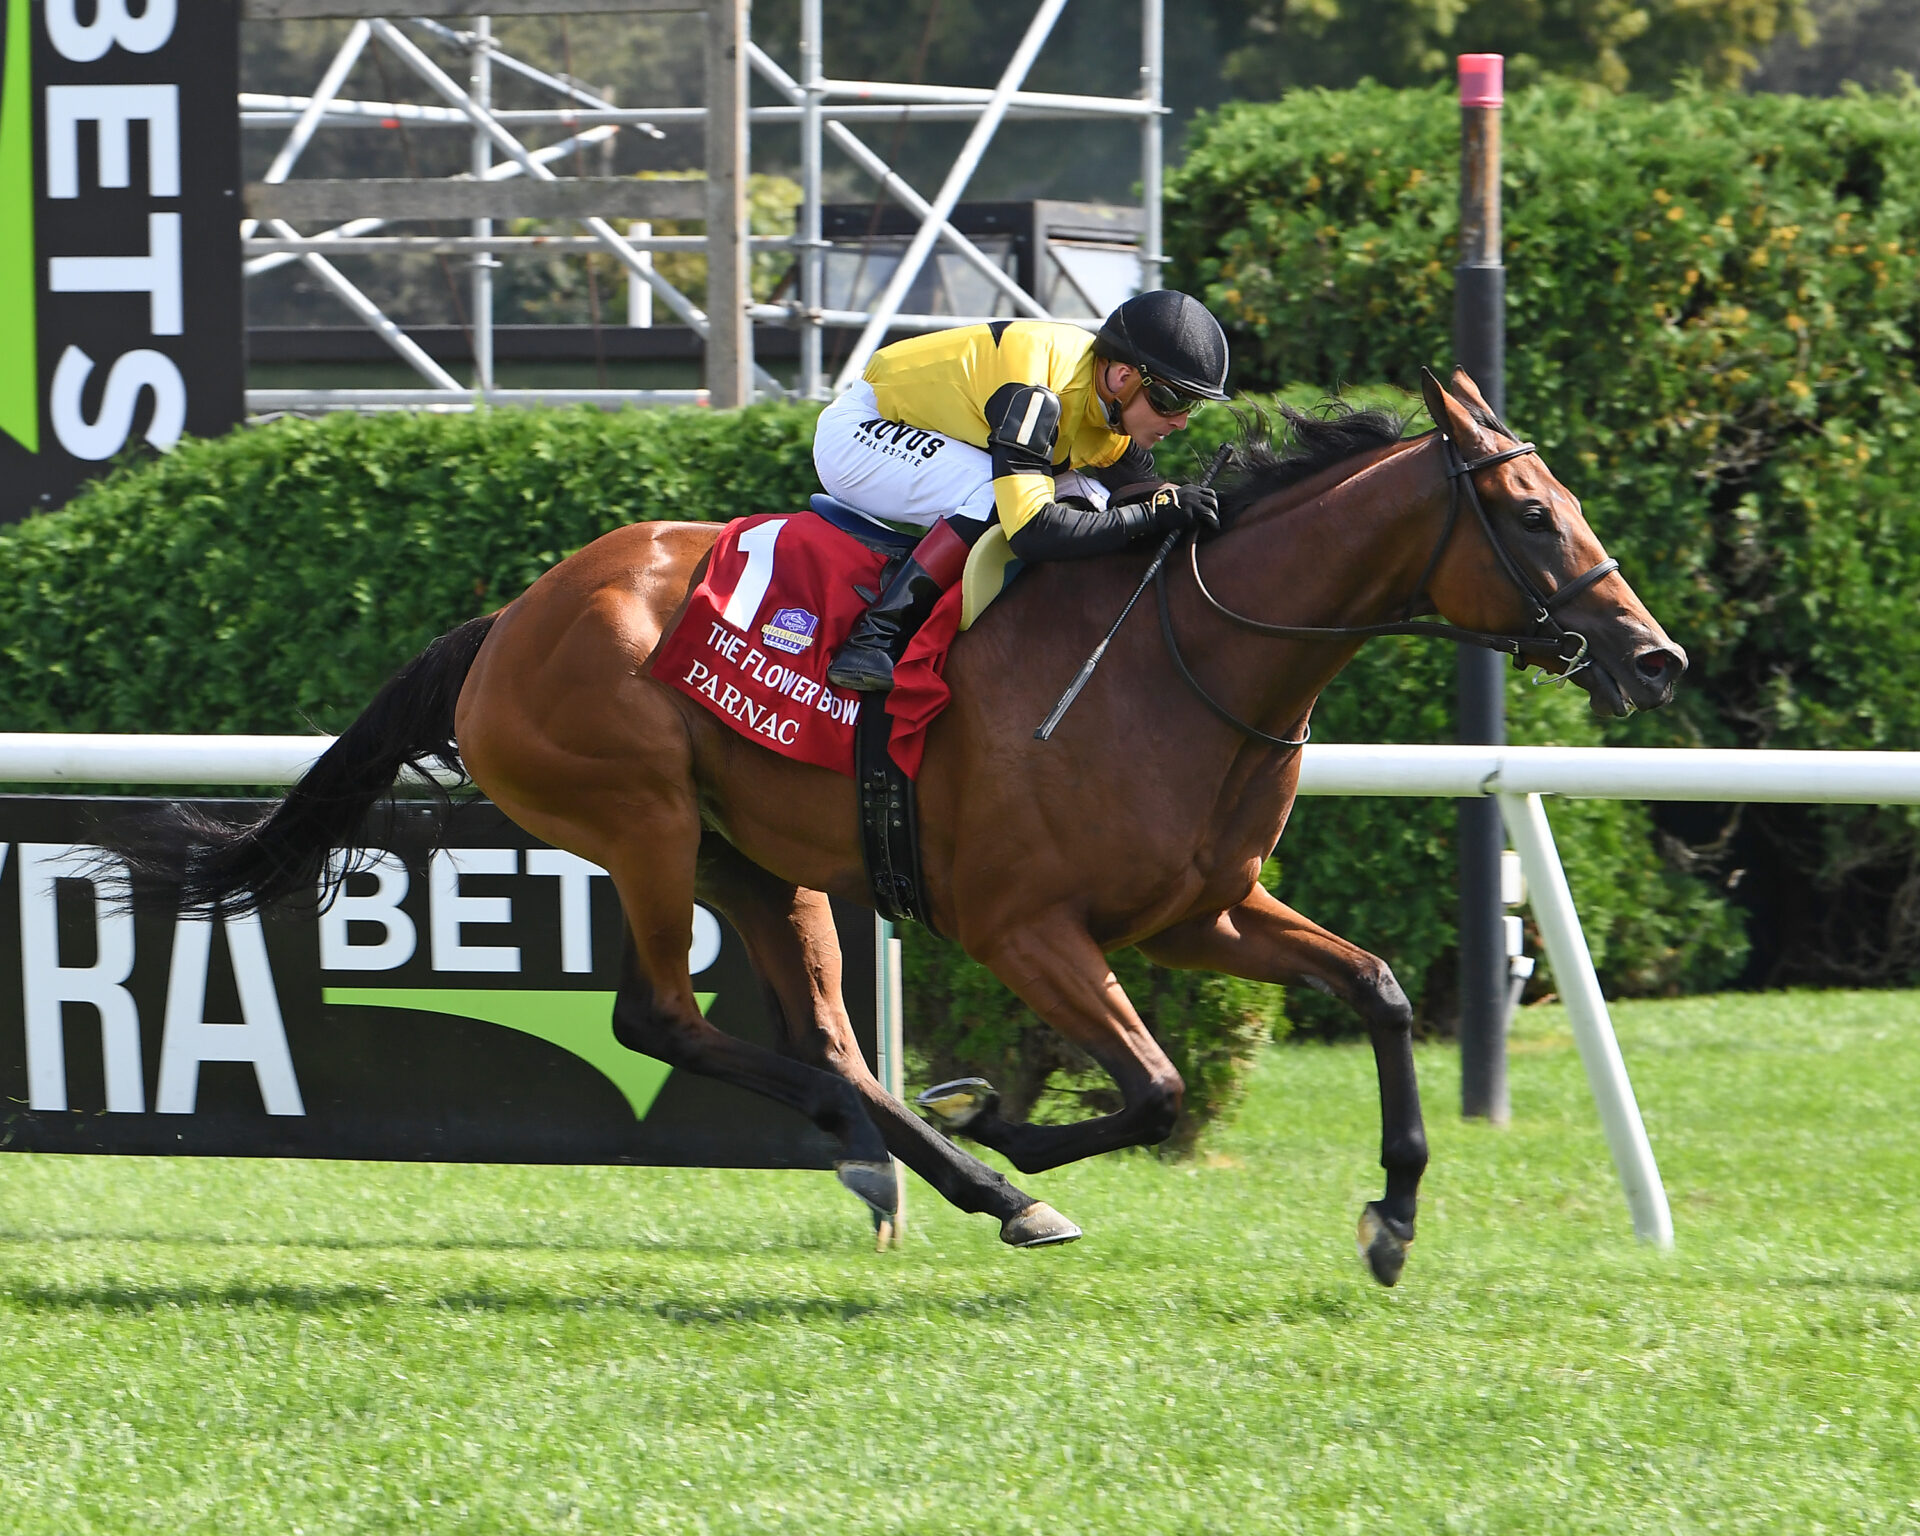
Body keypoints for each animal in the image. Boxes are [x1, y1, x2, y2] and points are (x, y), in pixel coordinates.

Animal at [146, 367, 1685, 1287]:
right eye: (1532, 516)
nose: (1654, 657)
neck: (1179, 655)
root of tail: (505, 623)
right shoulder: (1022, 928)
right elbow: (1153, 1089)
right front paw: (1006, 1122)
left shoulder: (1201, 912)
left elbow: (1371, 989)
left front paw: (1394, 1216)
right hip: (641, 818)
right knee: (661, 1020)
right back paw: (980, 1177)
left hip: (756, 862)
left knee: (822, 1039)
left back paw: (943, 1174)